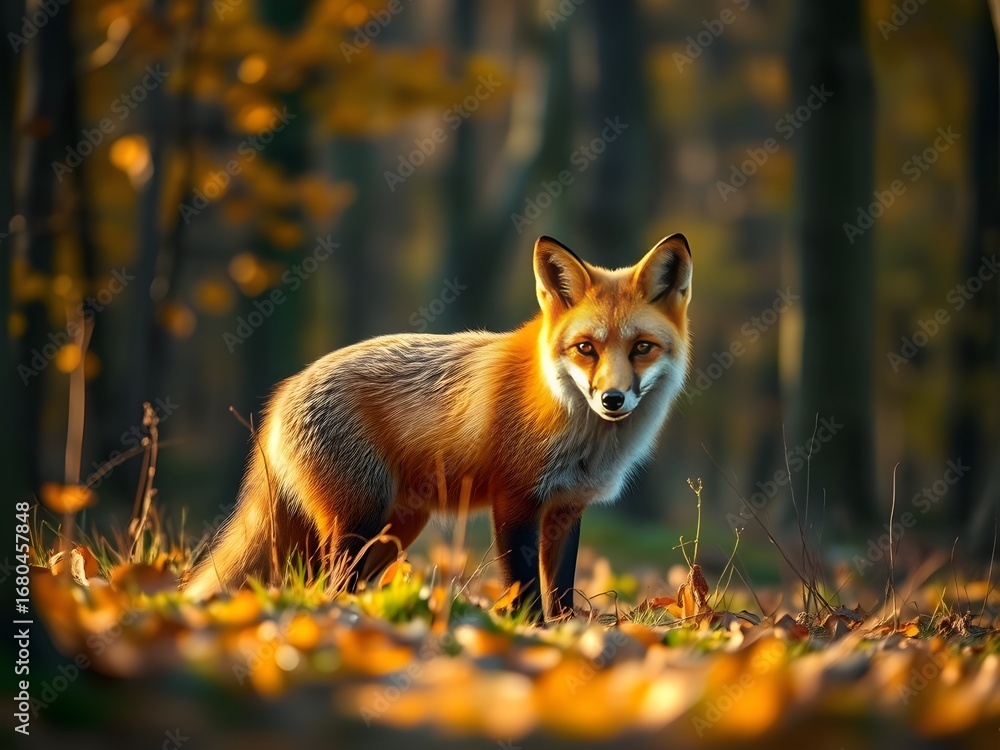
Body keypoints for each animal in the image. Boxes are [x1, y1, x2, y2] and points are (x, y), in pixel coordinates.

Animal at [184, 234, 693, 619]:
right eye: (586, 348)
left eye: (642, 347)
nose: (612, 399)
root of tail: (284, 391)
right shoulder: (515, 503)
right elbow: (525, 595)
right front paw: (528, 637)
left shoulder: (566, 510)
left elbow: (561, 599)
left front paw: (567, 639)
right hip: (357, 523)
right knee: (329, 586)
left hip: (396, 529)